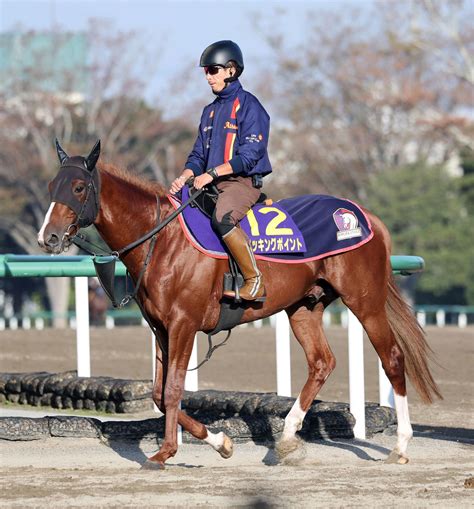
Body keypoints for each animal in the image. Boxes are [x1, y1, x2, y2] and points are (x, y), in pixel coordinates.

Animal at [37, 141, 440, 466]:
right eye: (51, 186)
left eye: (78, 187)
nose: (48, 237)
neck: (163, 239)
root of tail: (363, 216)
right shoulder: (161, 327)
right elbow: (159, 393)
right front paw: (220, 442)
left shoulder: (183, 324)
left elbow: (173, 391)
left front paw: (166, 452)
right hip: (304, 307)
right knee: (322, 362)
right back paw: (288, 438)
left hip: (365, 301)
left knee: (392, 358)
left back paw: (401, 446)